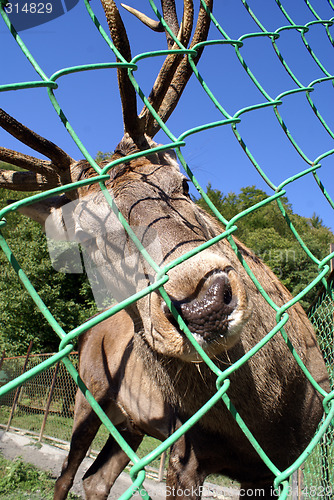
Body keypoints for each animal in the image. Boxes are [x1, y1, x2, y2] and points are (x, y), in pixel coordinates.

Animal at [0, 0, 328, 500]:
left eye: (184, 183)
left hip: (130, 423)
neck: (270, 418)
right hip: (87, 398)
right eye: (84, 237)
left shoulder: (282, 463)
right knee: (67, 475)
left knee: (96, 479)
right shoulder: (183, 453)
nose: (204, 302)